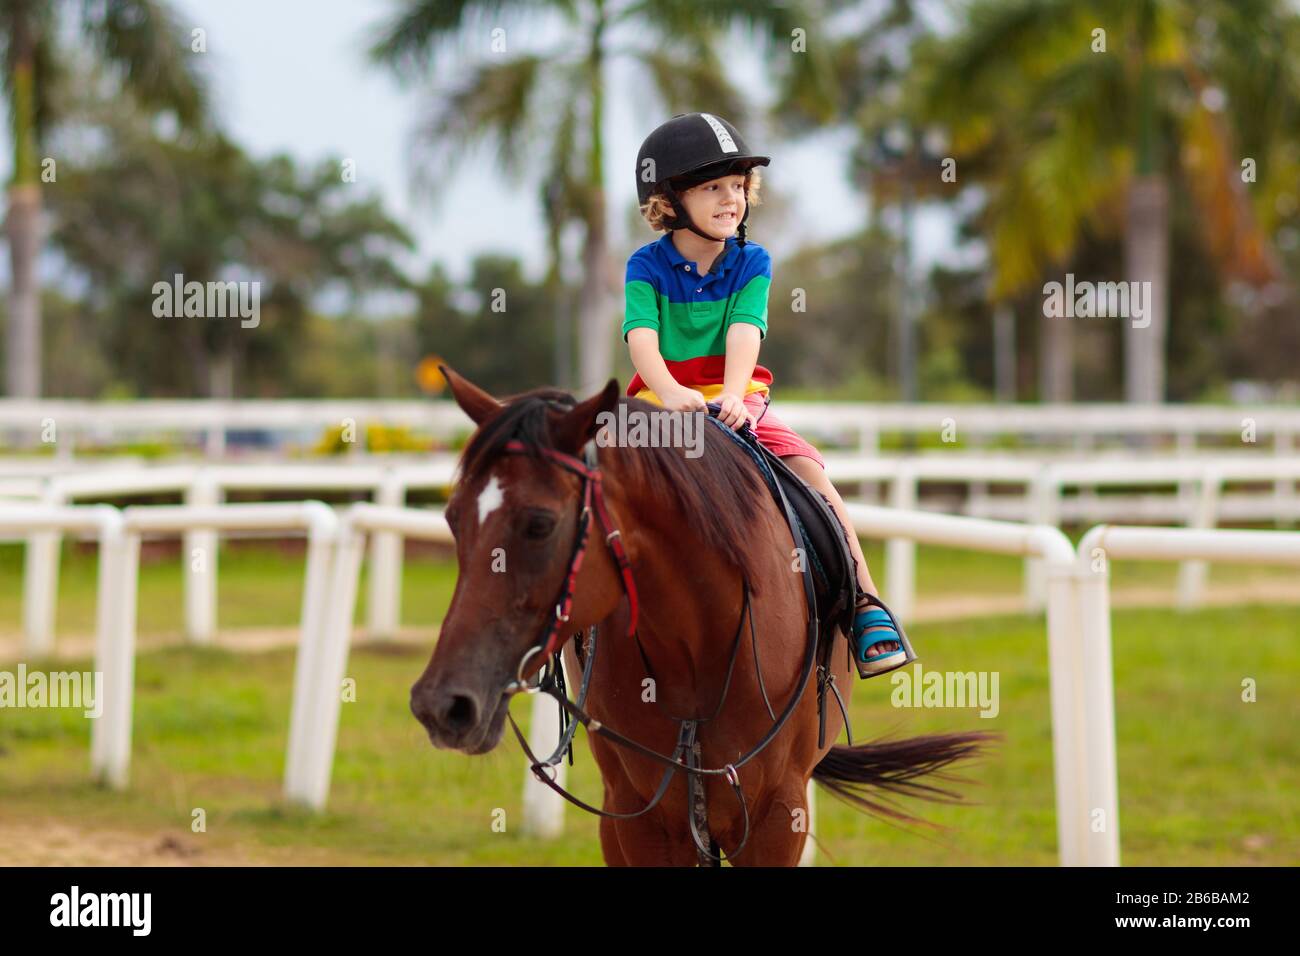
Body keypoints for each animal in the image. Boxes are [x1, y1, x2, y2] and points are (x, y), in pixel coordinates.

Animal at [411, 366, 994, 866]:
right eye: (452, 518)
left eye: (539, 523)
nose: (441, 704)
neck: (695, 640)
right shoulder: (642, 821)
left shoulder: (777, 816)